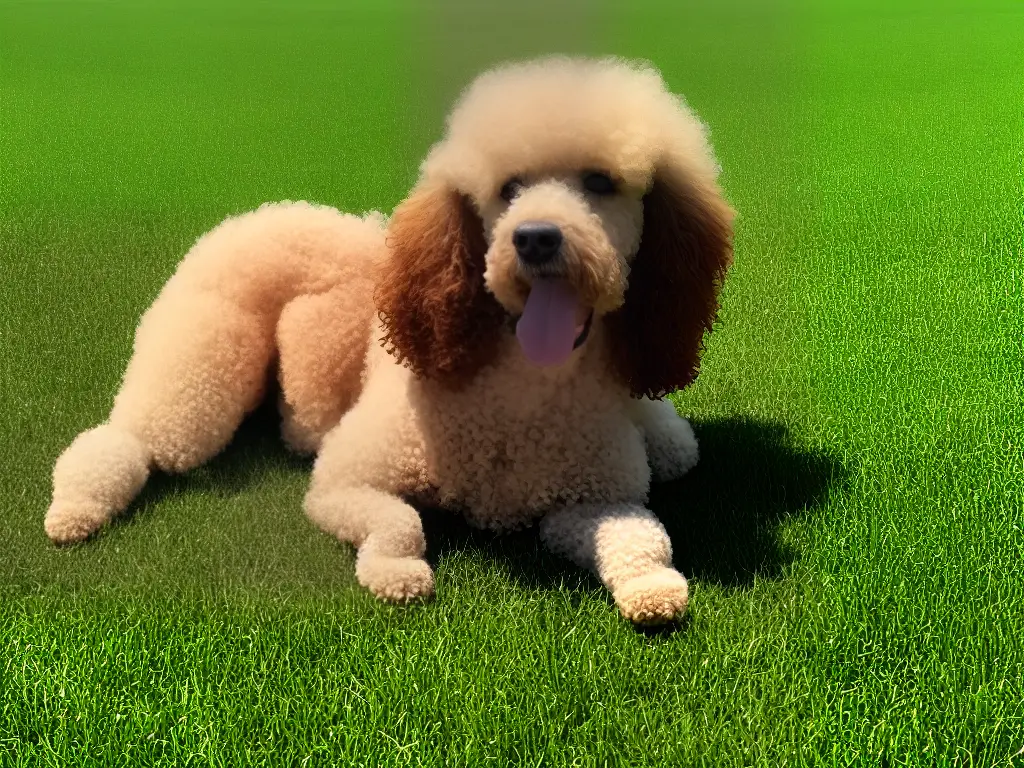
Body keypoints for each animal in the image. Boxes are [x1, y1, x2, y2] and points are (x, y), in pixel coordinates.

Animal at [48, 58, 733, 626]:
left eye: (600, 182)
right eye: (507, 188)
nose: (535, 238)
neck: (518, 394)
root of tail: (256, 213)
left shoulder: (591, 498)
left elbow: (643, 538)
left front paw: (652, 589)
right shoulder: (345, 479)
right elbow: (398, 522)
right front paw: (396, 573)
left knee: (677, 447)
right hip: (198, 374)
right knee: (131, 439)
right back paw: (75, 509)